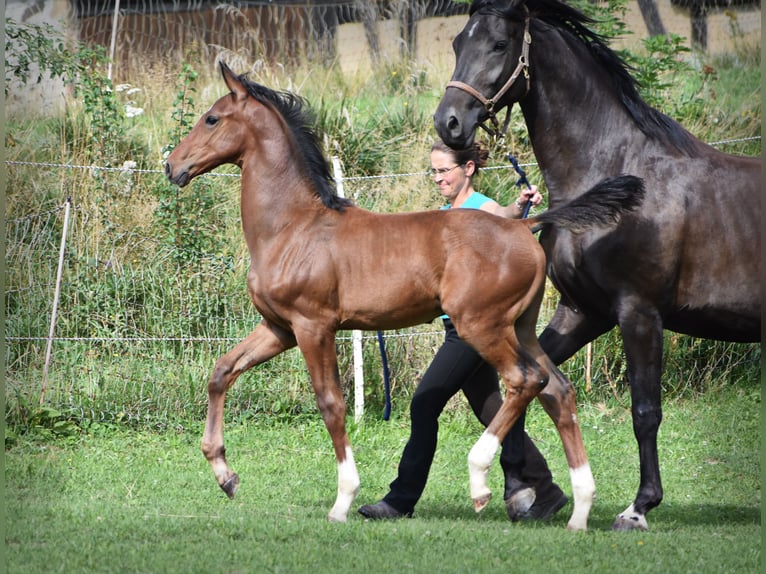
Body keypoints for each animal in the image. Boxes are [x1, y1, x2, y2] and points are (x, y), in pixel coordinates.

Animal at [436, 0, 764, 532]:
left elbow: (645, 411)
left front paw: (639, 507)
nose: (449, 123)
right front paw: (525, 492)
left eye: (500, 44)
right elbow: (536, 386)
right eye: (457, 41)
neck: (616, 174)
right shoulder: (582, 311)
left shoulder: (639, 312)